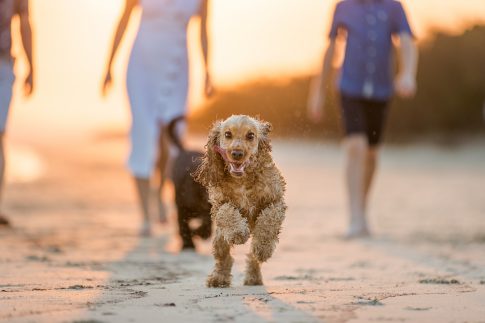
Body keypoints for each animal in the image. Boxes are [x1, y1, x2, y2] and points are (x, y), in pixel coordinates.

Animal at [167, 118, 211, 251]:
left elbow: (207, 228)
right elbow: (184, 227)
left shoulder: (207, 214)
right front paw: (188, 244)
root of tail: (184, 150)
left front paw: (199, 234)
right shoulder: (182, 209)